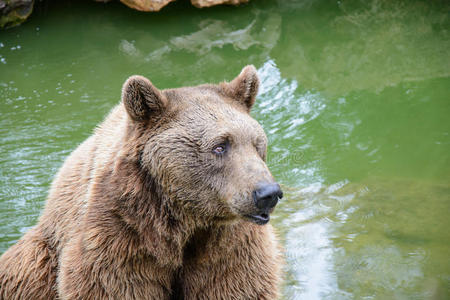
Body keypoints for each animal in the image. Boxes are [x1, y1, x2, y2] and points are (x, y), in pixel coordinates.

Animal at [0, 65, 282, 300]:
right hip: (38, 262)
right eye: (220, 146)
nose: (268, 193)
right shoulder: (120, 237)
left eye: (257, 143)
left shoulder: (229, 245)